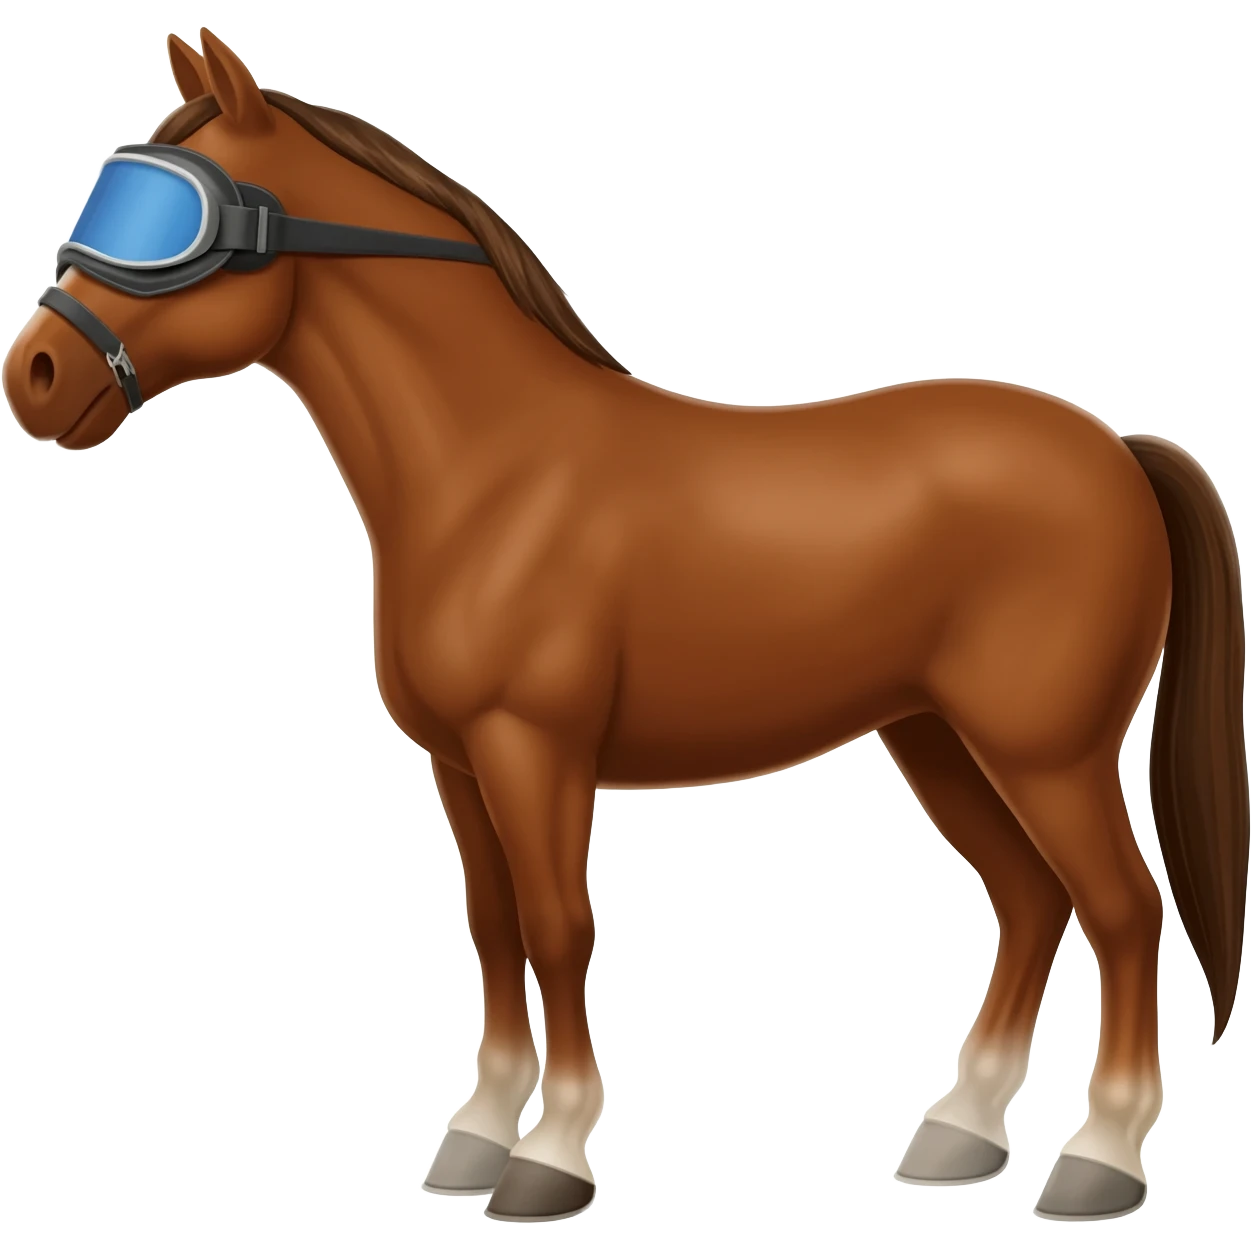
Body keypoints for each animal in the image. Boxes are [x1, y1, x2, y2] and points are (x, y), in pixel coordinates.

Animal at [3, 28, 1247, 1226]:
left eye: (174, 219)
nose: (37, 376)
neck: (495, 474)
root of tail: (1119, 450)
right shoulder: (460, 761)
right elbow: (494, 929)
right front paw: (474, 1140)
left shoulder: (534, 749)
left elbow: (558, 928)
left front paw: (551, 1162)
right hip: (936, 740)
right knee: (1032, 905)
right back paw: (958, 1137)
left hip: (1047, 751)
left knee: (1123, 911)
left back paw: (1097, 1164)